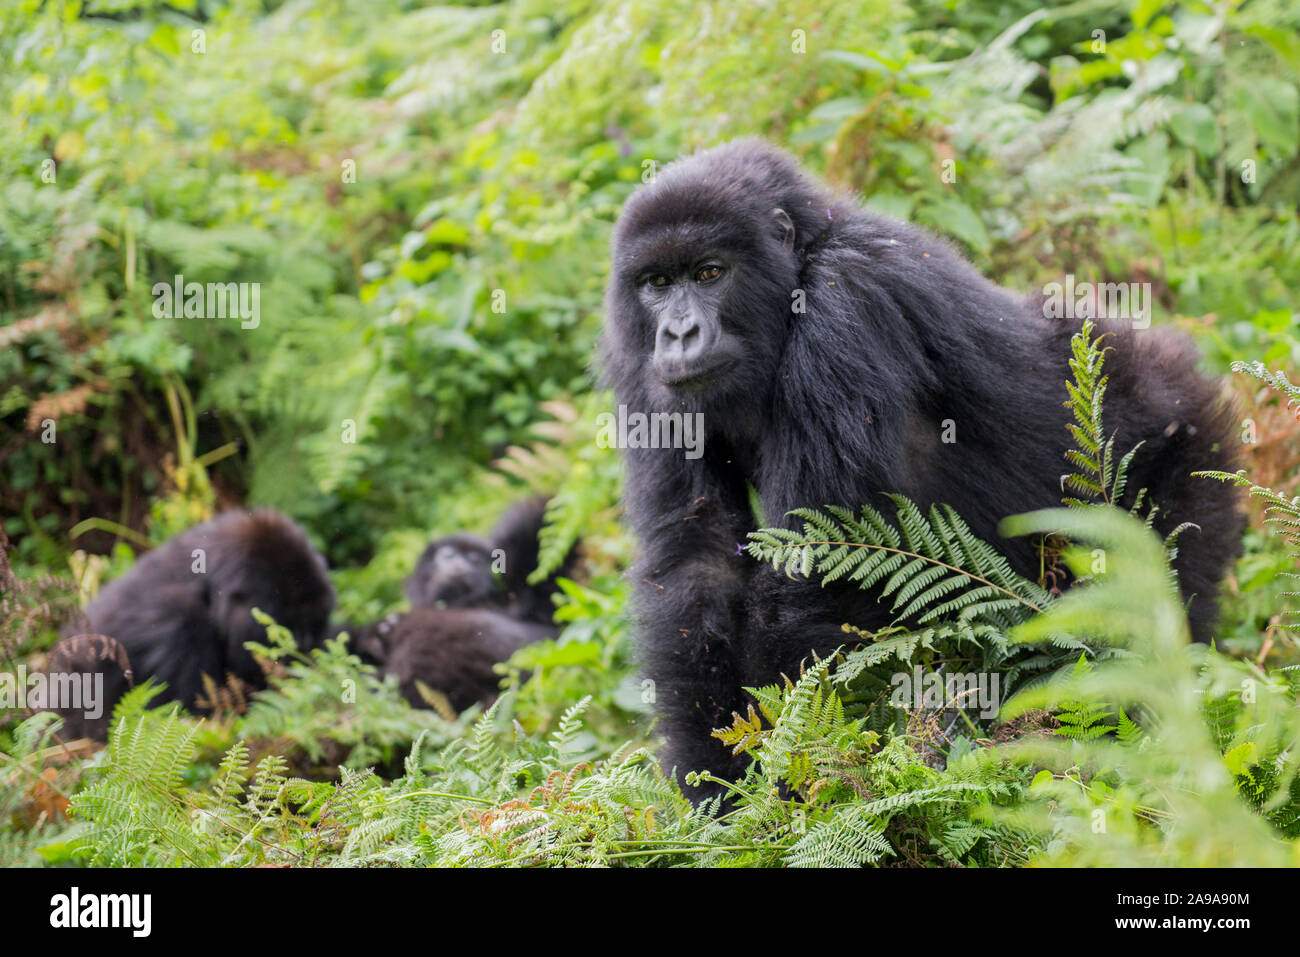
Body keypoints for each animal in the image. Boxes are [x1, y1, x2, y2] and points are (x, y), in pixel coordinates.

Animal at [52, 509, 335, 738]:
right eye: (288, 632)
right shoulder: (180, 628)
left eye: (314, 630)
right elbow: (194, 714)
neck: (209, 590)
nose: (306, 656)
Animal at [603, 140, 1242, 800]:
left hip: (1185, 448)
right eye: (657, 283)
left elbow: (812, 572)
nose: (678, 333)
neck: (802, 262)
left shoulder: (846, 298)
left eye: (710, 273)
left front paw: (790, 796)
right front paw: (715, 791)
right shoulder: (638, 360)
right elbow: (695, 563)